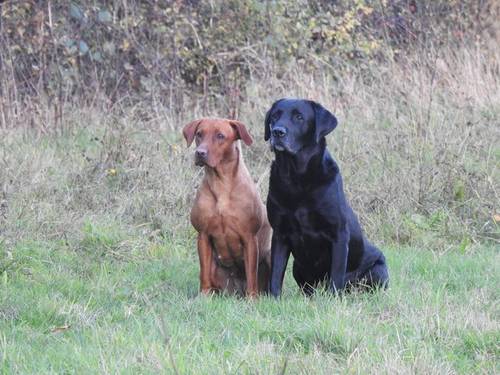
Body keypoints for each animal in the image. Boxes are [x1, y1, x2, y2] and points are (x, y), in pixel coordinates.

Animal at [182, 119, 272, 298]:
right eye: (199, 134)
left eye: (220, 136)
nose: (200, 153)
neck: (221, 183)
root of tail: (237, 292)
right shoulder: (203, 236)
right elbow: (203, 274)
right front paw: (203, 297)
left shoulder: (249, 238)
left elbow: (251, 274)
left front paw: (252, 299)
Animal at [264, 99, 388, 296]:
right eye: (275, 116)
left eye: (299, 117)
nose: (277, 131)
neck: (296, 179)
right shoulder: (280, 233)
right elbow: (276, 273)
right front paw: (273, 298)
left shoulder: (339, 233)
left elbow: (336, 273)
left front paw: (333, 298)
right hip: (297, 267)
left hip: (379, 270)